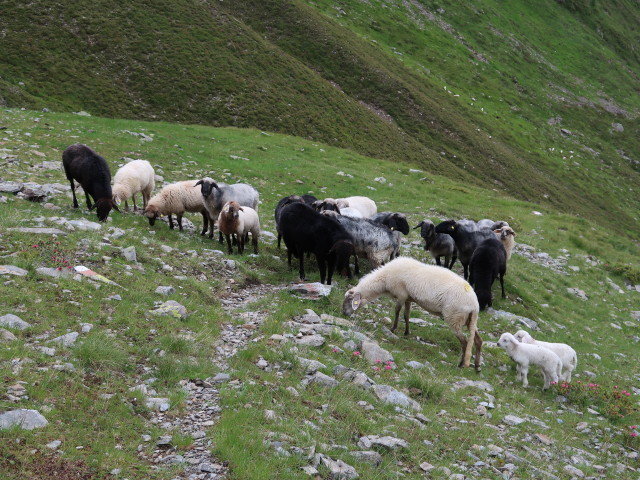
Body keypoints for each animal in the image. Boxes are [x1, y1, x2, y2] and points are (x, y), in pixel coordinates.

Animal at [342, 258, 482, 372]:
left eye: (349, 299)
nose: (344, 313)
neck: (384, 279)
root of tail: (474, 304)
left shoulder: (401, 294)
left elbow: (397, 310)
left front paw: (393, 328)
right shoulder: (408, 298)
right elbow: (406, 315)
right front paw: (406, 332)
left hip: (454, 318)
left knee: (464, 342)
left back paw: (461, 364)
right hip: (469, 320)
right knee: (478, 340)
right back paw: (477, 366)